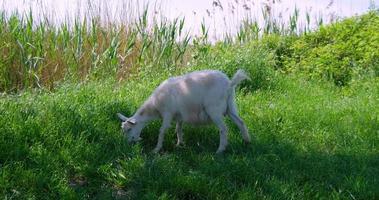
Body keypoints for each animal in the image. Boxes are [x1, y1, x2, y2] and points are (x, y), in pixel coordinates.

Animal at [117, 69, 251, 153]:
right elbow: (178, 129)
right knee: (240, 122)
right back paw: (246, 141)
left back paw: (220, 150)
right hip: (230, 105)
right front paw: (179, 144)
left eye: (129, 129)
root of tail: (229, 83)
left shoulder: (168, 114)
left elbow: (162, 131)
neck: (154, 106)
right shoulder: (179, 115)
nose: (125, 145)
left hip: (214, 109)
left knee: (224, 129)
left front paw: (156, 149)